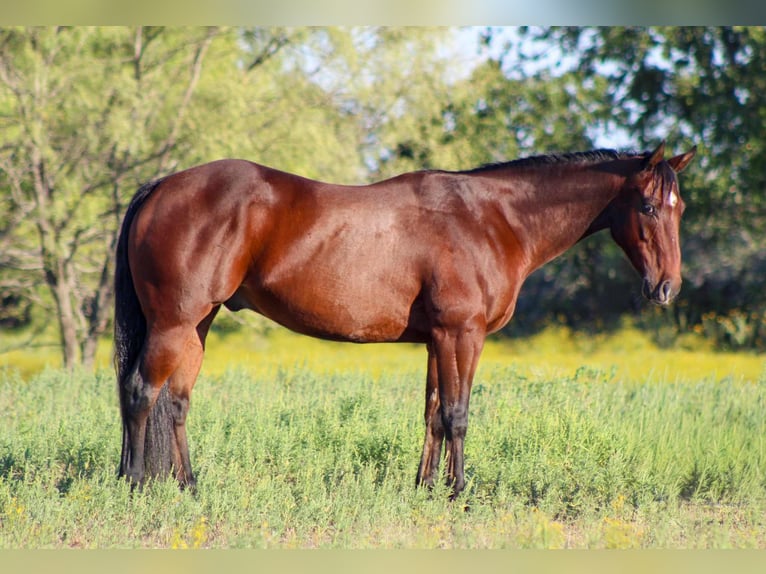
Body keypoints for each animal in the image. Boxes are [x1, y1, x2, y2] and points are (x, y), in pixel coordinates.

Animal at [114, 141, 696, 498]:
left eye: (680, 207)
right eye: (648, 207)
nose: (667, 288)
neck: (493, 220)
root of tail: (161, 187)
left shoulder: (438, 339)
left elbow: (434, 412)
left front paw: (426, 488)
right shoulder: (462, 334)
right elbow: (458, 414)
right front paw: (460, 493)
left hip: (197, 325)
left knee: (176, 401)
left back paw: (189, 486)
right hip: (173, 323)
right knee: (141, 392)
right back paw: (134, 483)